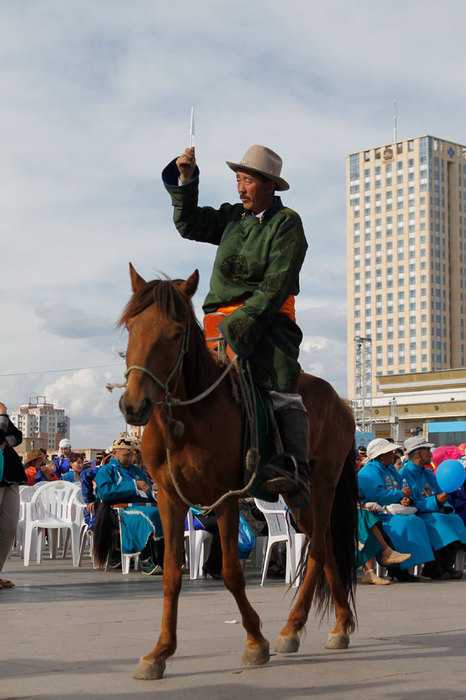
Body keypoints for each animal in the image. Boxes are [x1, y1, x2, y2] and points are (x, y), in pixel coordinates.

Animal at [117, 262, 356, 680]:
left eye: (175, 333)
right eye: (132, 327)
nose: (134, 405)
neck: (189, 416)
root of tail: (342, 404)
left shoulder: (225, 496)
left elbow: (231, 571)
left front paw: (255, 641)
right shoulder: (169, 497)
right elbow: (172, 574)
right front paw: (160, 652)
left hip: (322, 486)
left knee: (318, 550)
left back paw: (294, 628)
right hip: (297, 498)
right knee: (324, 548)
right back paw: (332, 625)